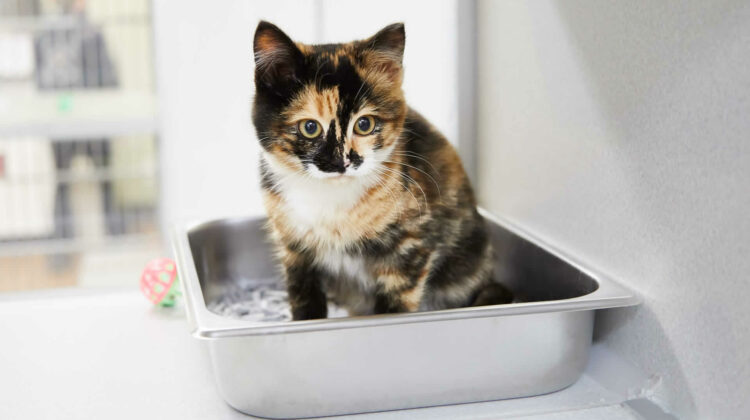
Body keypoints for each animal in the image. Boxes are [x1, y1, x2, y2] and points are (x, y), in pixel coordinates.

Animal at [256, 21, 516, 320]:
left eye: (364, 124)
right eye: (310, 127)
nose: (342, 162)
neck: (330, 201)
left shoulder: (409, 247)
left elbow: (394, 308)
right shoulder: (293, 249)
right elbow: (304, 299)